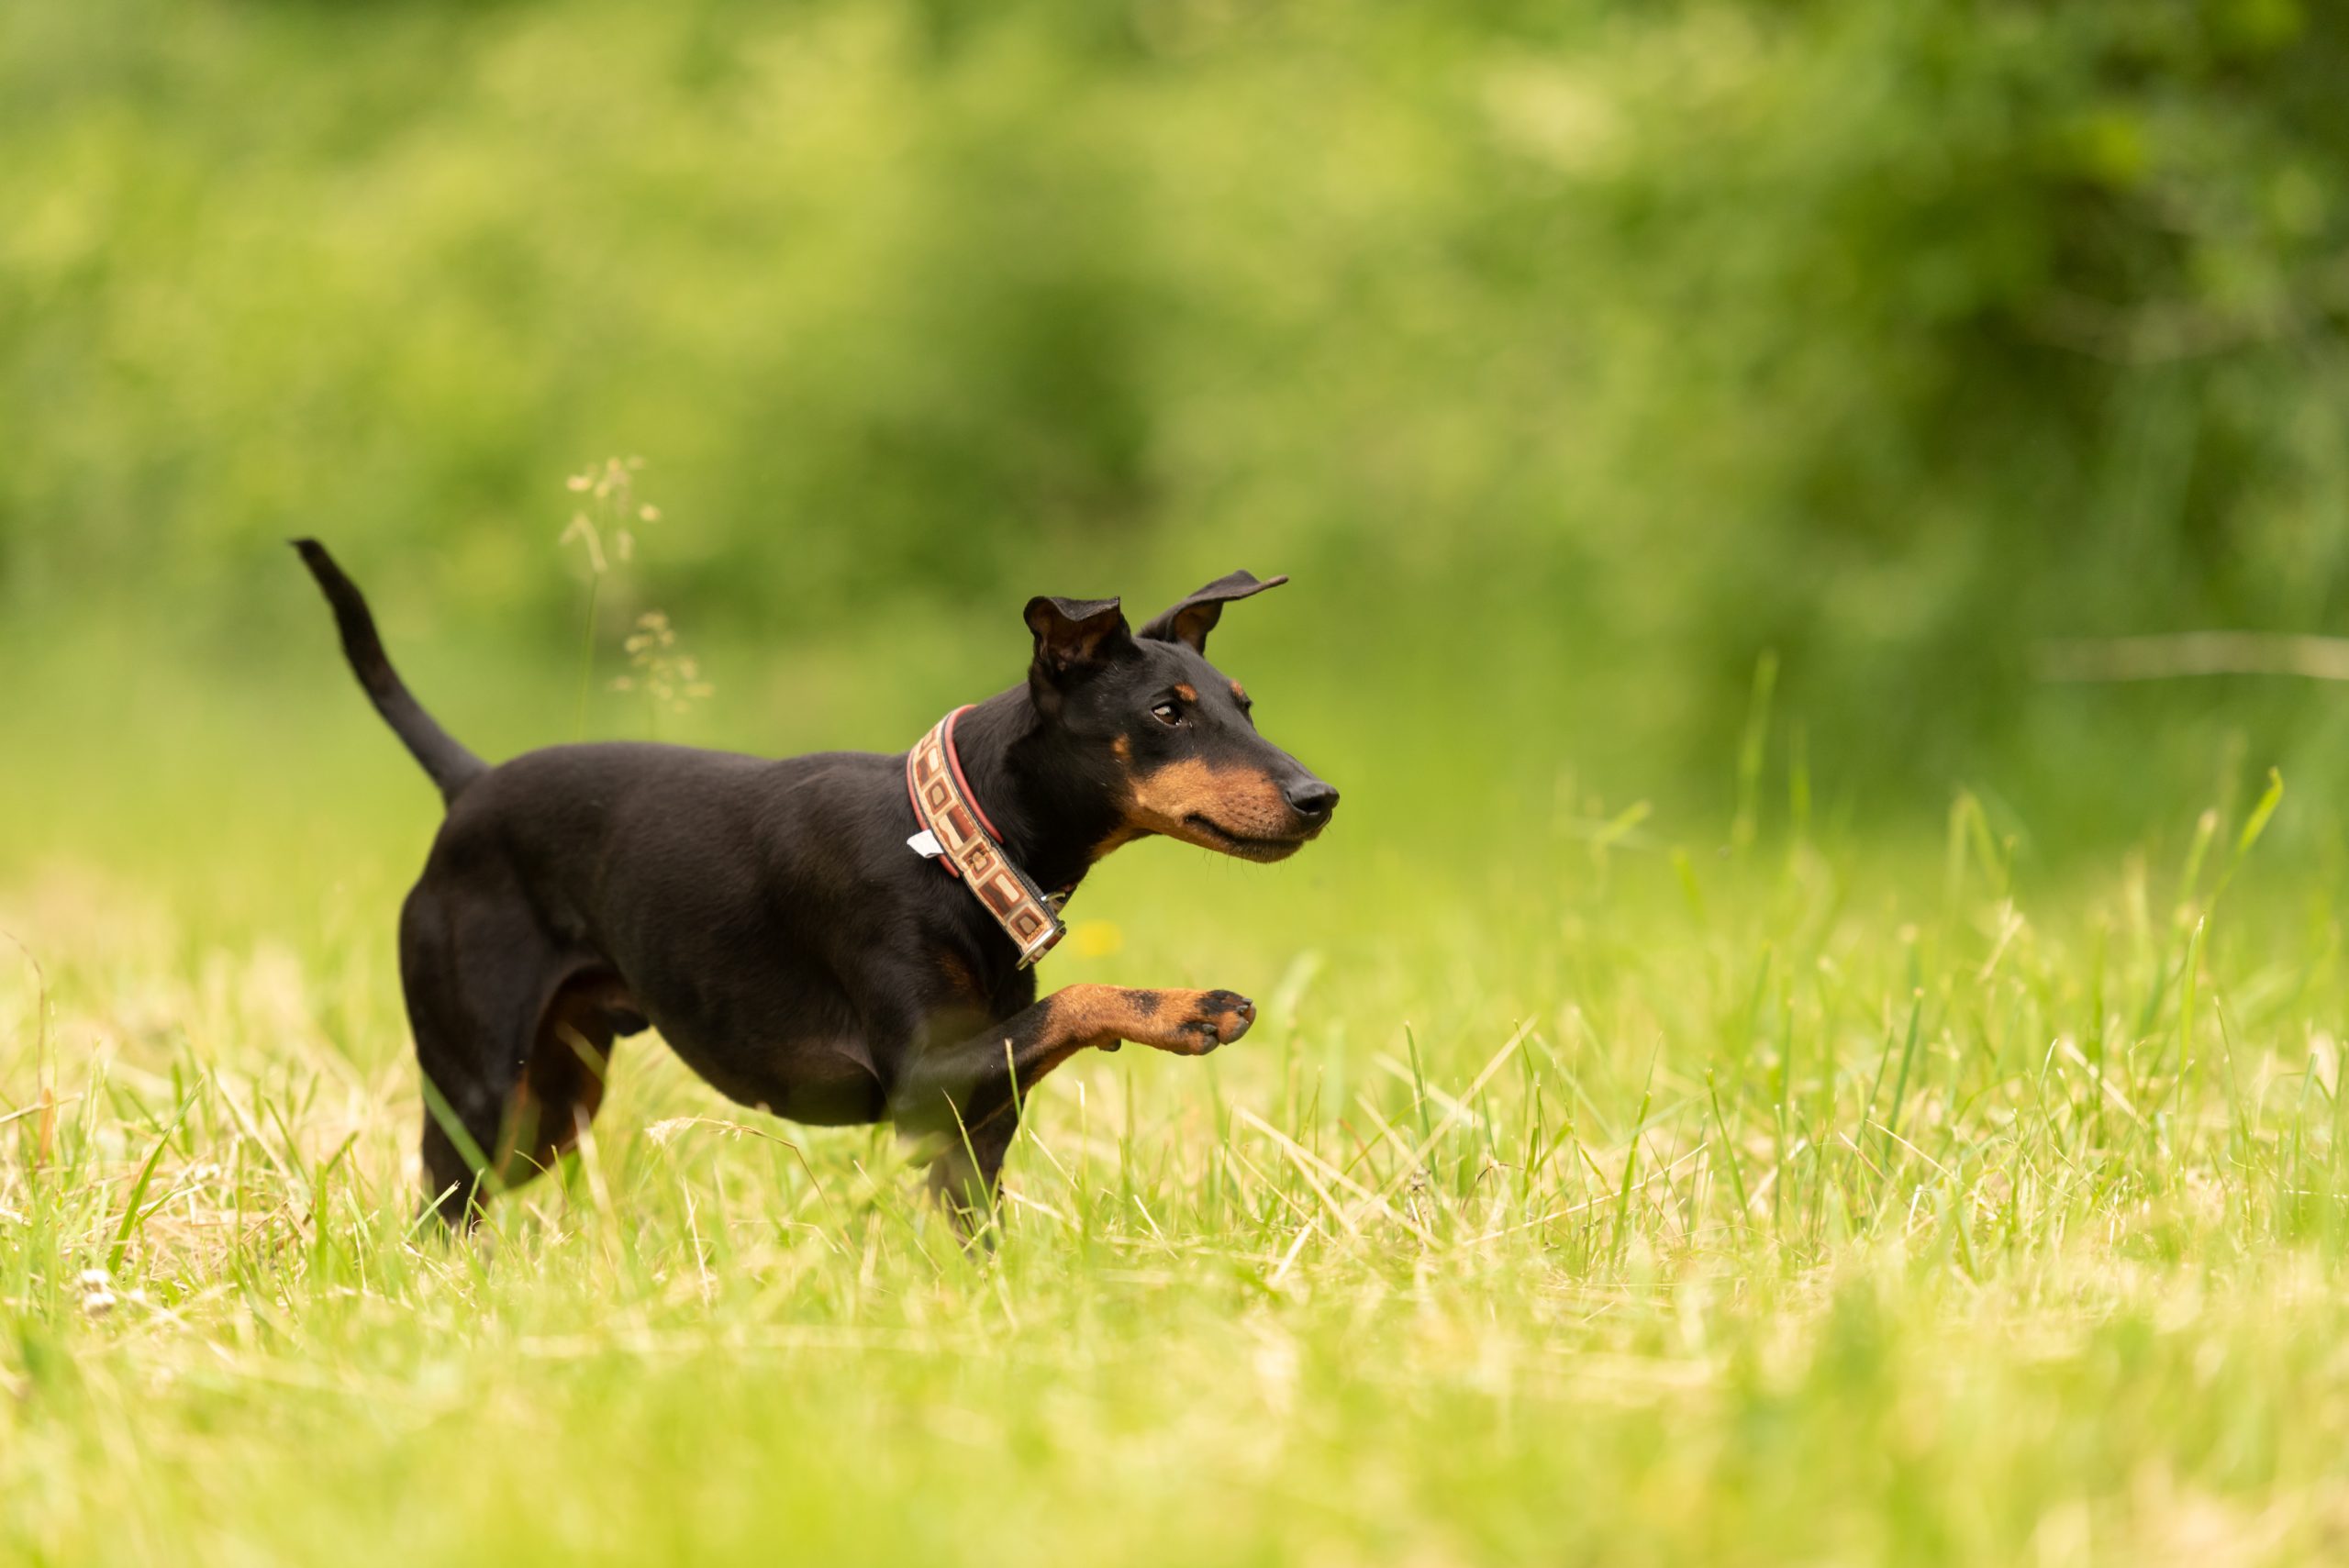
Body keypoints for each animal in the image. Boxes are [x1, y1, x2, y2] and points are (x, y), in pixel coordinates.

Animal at [288, 544, 1343, 1229]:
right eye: (1167, 711)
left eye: (1245, 705)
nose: (1319, 797)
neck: (952, 844)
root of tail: (468, 785)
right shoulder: (920, 1078)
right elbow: (1086, 997)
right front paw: (1186, 1006)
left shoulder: (973, 1127)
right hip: (477, 1085)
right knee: (434, 1207)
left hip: (546, 1108)